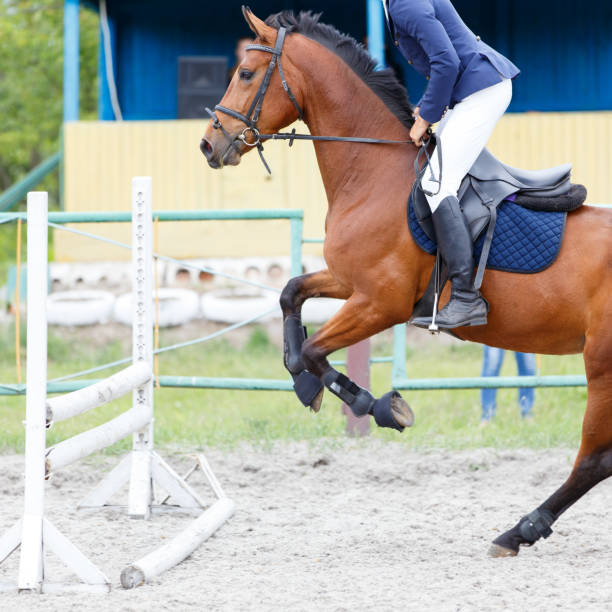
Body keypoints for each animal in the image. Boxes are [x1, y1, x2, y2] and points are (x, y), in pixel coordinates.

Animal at [203, 9, 612, 556]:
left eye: (246, 74)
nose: (209, 145)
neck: (371, 172)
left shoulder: (383, 302)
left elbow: (315, 350)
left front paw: (380, 407)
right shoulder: (350, 283)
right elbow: (290, 295)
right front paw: (305, 386)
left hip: (601, 365)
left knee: (594, 459)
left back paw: (519, 530)